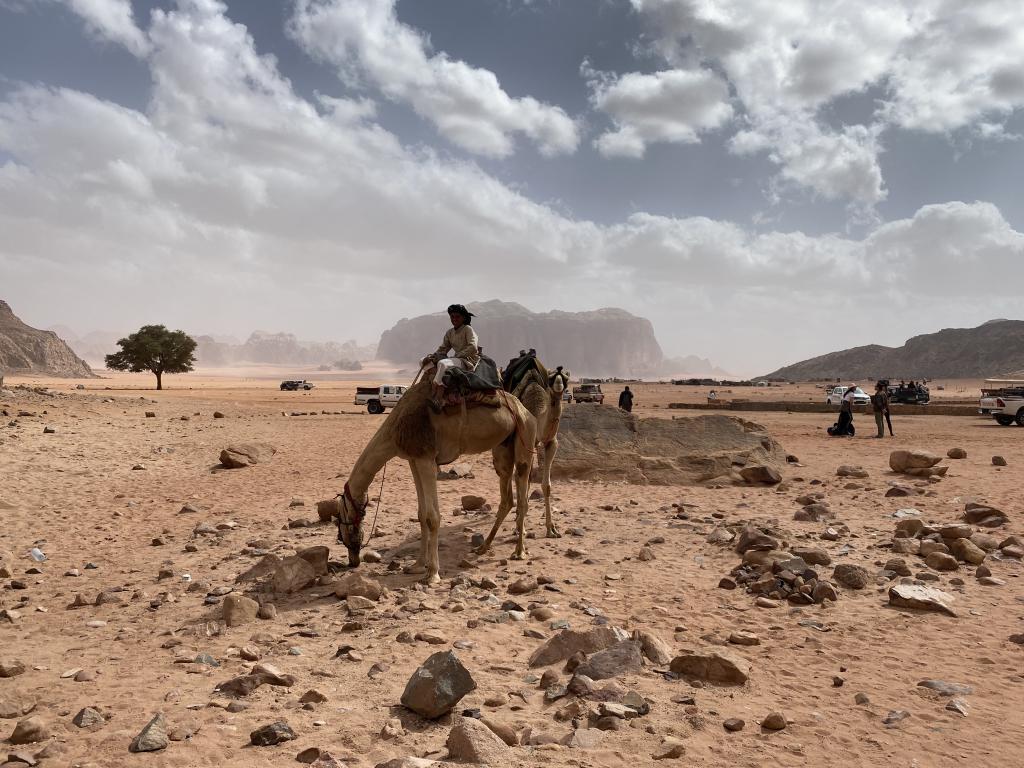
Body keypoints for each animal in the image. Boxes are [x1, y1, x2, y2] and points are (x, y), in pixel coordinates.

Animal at [339, 376, 540, 581]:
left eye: (340, 521)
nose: (353, 560)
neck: (394, 431)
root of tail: (525, 410)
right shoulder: (414, 459)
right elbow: (421, 514)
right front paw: (417, 565)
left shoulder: (426, 458)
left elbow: (432, 516)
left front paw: (433, 573)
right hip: (503, 447)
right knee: (507, 498)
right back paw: (483, 548)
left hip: (525, 435)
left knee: (523, 496)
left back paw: (519, 551)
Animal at [477, 364, 573, 557]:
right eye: (552, 377)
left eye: (566, 379)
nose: (559, 383)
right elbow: (522, 482)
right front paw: (520, 529)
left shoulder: (551, 442)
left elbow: (546, 486)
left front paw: (551, 529)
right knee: (518, 479)